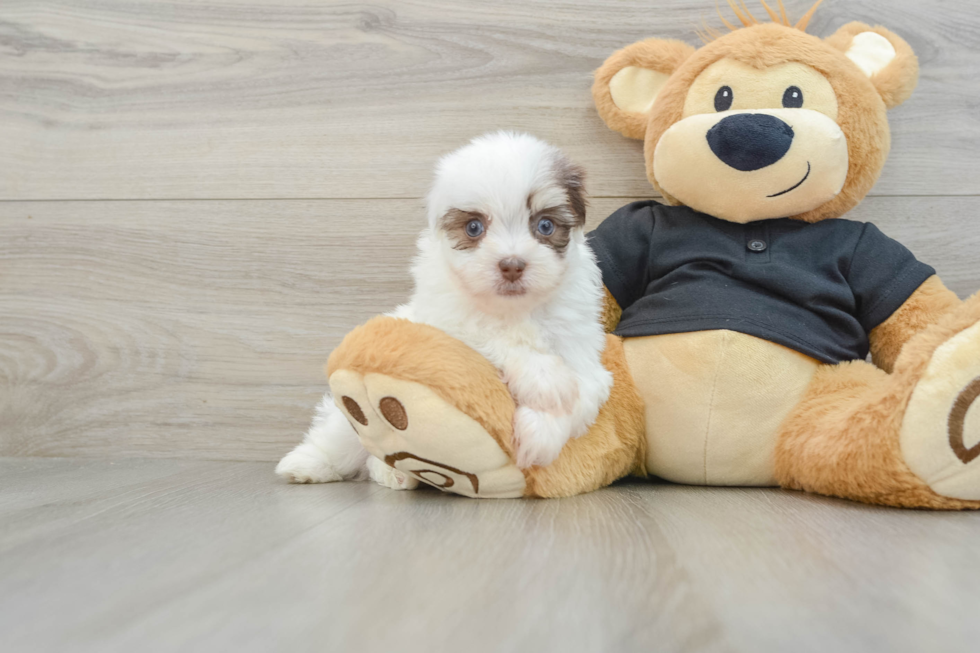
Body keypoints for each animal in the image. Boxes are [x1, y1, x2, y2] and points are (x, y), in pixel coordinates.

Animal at [276, 134, 612, 488]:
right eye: (474, 228)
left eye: (545, 225)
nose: (512, 265)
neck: (513, 311)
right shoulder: (445, 326)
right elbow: (493, 339)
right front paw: (545, 380)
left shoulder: (582, 354)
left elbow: (583, 391)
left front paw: (540, 435)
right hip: (346, 424)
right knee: (340, 437)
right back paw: (310, 464)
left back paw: (391, 471)